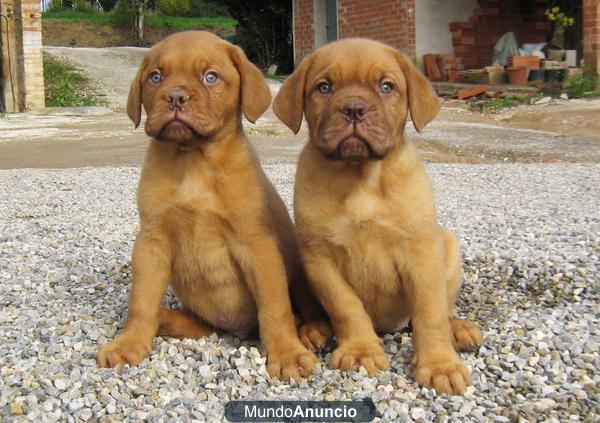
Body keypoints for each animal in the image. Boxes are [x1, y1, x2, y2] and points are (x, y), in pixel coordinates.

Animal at [96, 29, 318, 380]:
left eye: (210, 77)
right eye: (155, 77)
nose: (175, 97)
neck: (193, 162)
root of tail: (236, 329)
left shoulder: (258, 245)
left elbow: (274, 307)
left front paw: (287, 353)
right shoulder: (151, 242)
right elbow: (140, 301)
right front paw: (128, 343)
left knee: (301, 310)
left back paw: (312, 332)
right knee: (188, 319)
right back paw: (166, 319)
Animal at [274, 38, 486, 396]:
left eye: (387, 86)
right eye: (324, 87)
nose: (354, 109)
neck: (361, 179)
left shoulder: (421, 253)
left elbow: (430, 313)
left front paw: (440, 365)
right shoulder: (320, 258)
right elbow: (347, 308)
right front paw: (361, 350)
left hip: (448, 246)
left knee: (443, 308)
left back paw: (458, 330)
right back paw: (315, 329)